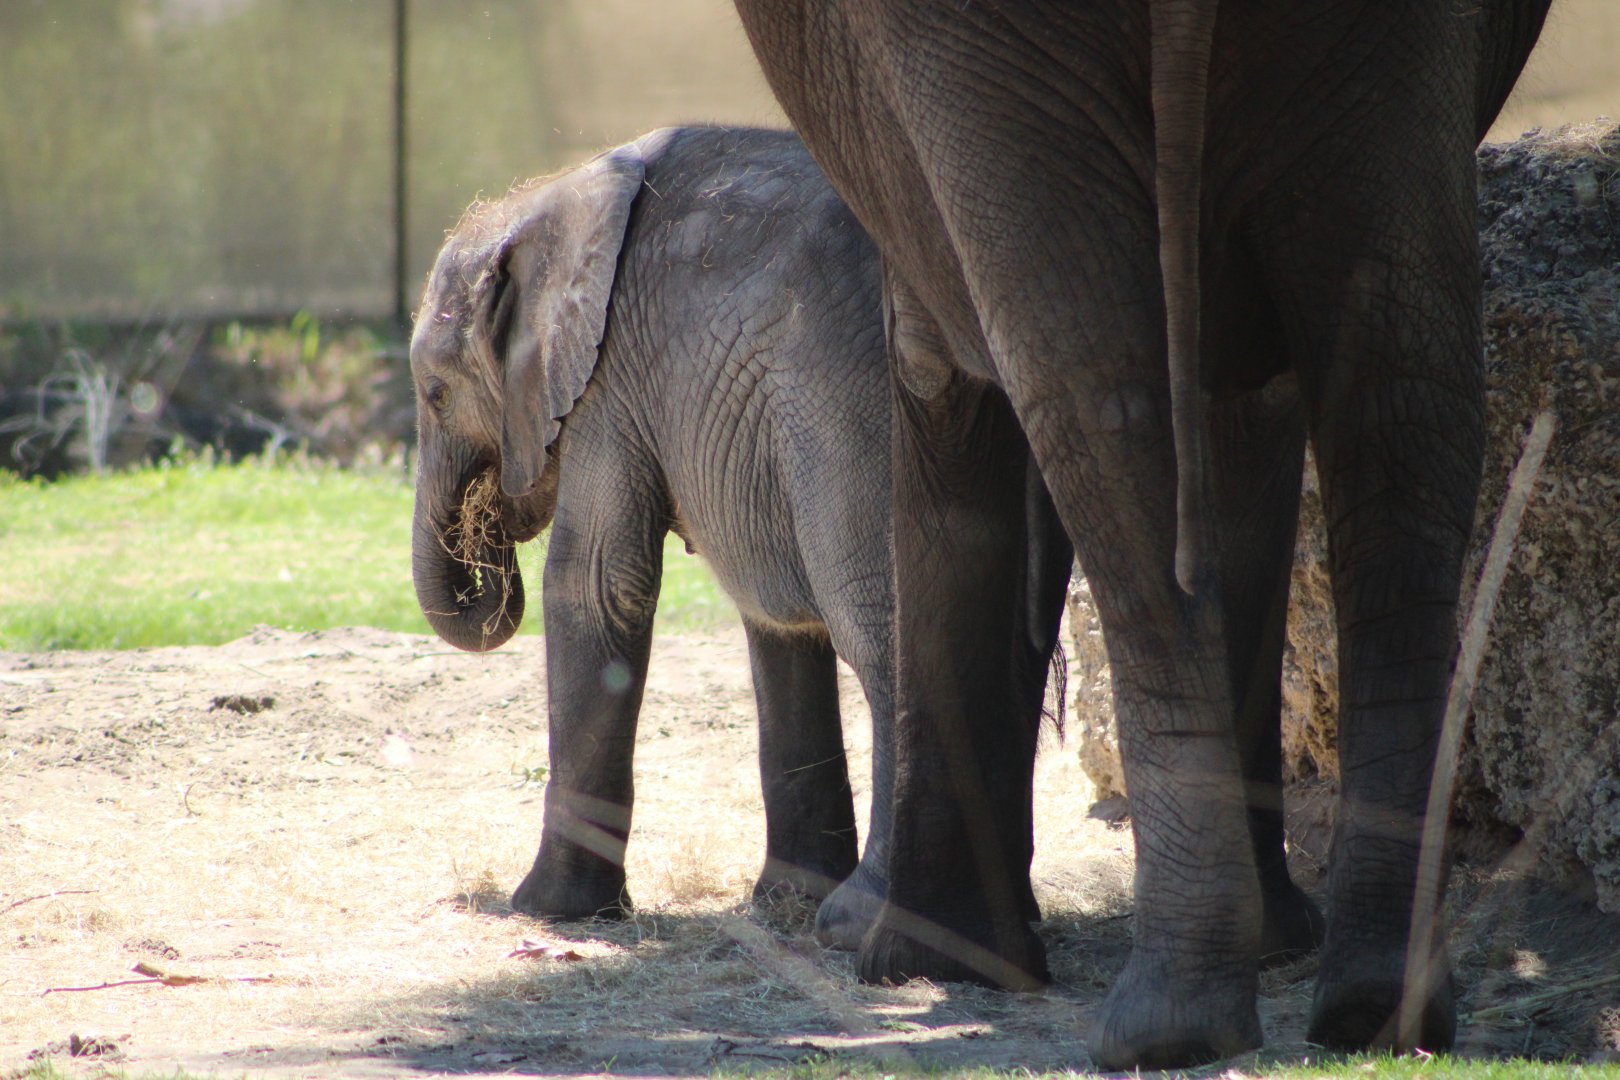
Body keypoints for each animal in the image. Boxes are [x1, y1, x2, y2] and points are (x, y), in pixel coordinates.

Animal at [408, 126, 1066, 936]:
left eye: (436, 394)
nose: (485, 530)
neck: (548, 201)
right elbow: (773, 618)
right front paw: (781, 903)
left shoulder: (610, 379)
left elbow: (594, 584)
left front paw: (544, 913)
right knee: (1011, 659)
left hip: (871, 420)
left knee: (890, 643)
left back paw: (861, 922)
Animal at [730, 0, 1550, 1069]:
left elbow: (942, 382)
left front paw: (917, 957)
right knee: (1402, 393)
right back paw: (1370, 1007)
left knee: (1093, 403)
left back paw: (1164, 1026)